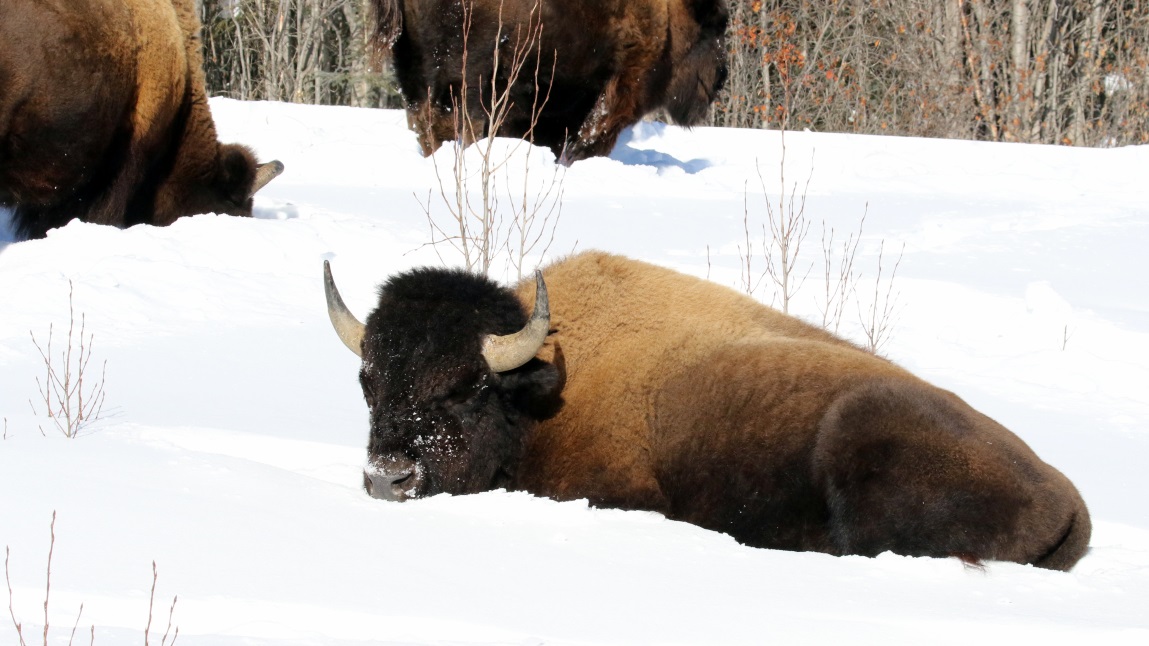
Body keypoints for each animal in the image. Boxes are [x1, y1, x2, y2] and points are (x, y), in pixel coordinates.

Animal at [370, 0, 729, 162]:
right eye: (717, 26)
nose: (722, 76)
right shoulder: (620, 91)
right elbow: (592, 135)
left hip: (413, 71)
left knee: (425, 122)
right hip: (471, 76)